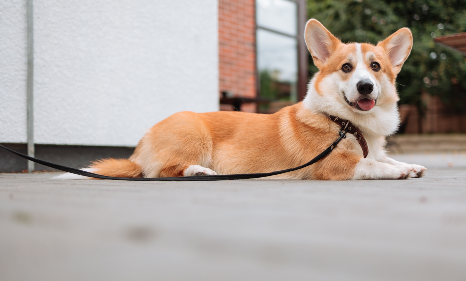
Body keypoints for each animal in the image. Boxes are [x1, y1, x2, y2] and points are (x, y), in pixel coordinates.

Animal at [55, 20, 426, 182]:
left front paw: (409, 164)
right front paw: (401, 170)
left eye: (375, 67)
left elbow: (382, 158)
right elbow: (372, 165)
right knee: (159, 171)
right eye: (346, 68)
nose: (365, 87)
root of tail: (139, 146)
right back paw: (199, 172)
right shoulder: (332, 166)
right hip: (191, 134)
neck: (344, 122)